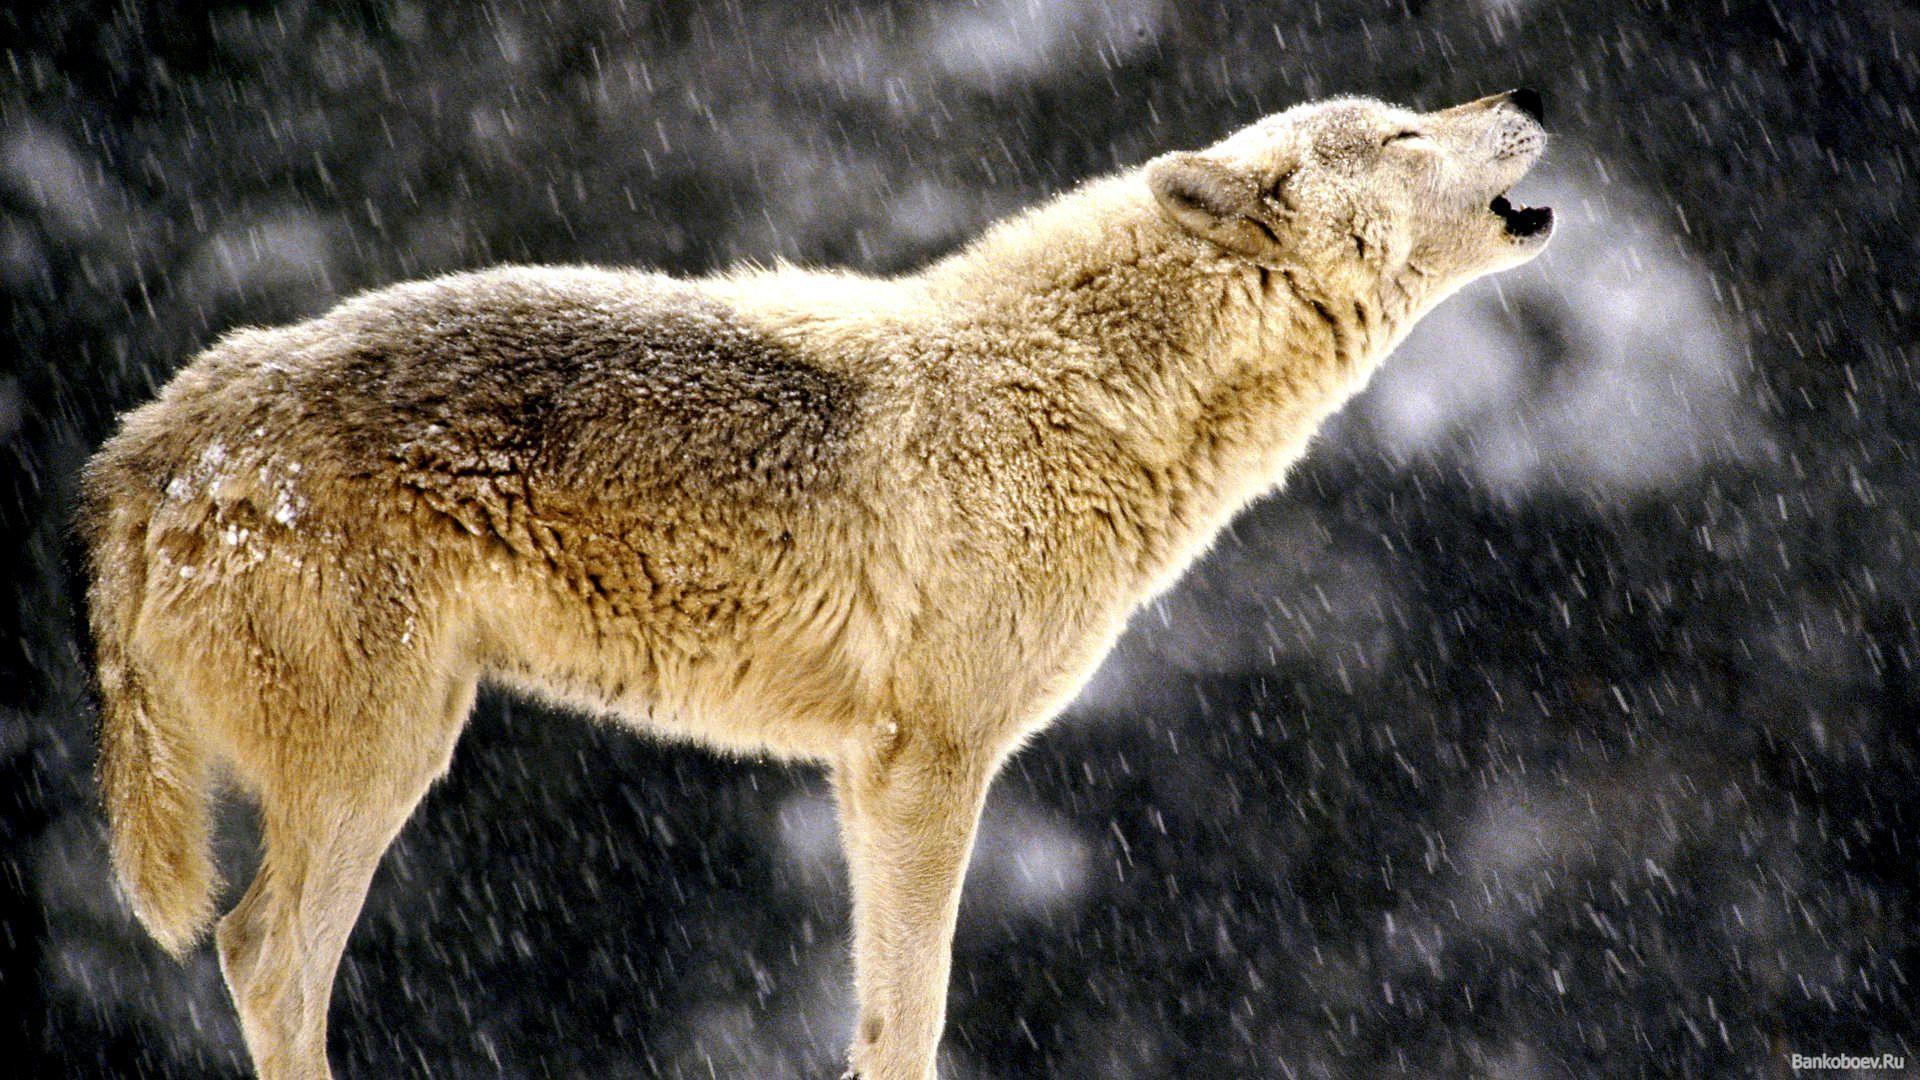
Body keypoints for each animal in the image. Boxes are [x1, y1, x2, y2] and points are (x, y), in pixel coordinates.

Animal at [79, 90, 1552, 1079]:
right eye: (1406, 133)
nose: (1525, 96)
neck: (1075, 392)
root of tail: (161, 431)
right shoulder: (933, 762)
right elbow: (919, 1015)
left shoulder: (864, 770)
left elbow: (877, 1018)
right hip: (381, 760)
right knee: (265, 959)